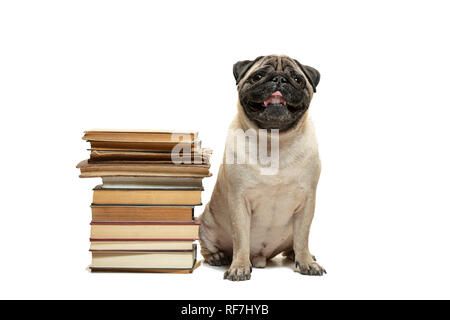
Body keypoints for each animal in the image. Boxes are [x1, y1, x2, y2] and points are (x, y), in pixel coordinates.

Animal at [200, 56, 324, 282]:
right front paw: (239, 267)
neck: (274, 141)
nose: (279, 79)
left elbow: (303, 237)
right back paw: (218, 256)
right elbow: (241, 238)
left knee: (295, 243)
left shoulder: (307, 203)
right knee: (208, 247)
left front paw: (306, 262)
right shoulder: (239, 201)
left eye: (297, 79)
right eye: (258, 76)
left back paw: (299, 255)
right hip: (206, 224)